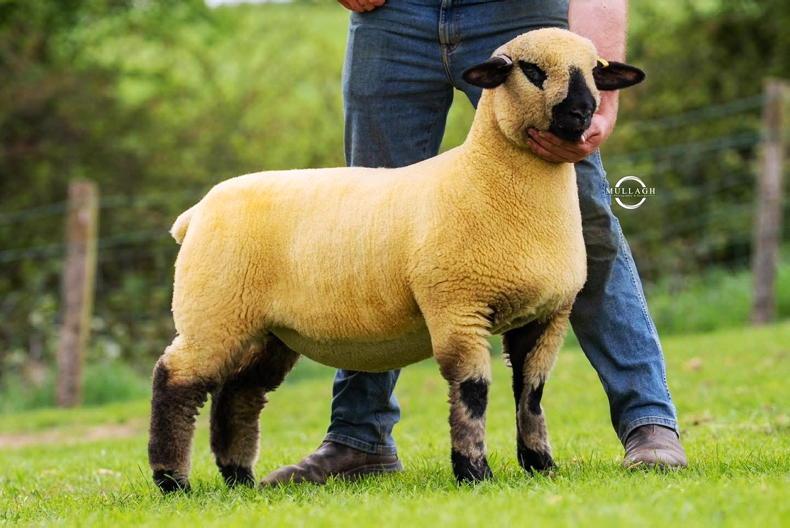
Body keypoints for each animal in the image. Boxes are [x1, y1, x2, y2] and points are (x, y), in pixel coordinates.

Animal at [148, 27, 645, 492]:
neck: (486, 179)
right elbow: (473, 393)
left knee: (239, 393)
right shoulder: (457, 307)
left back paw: (239, 479)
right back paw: (173, 481)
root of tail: (196, 212)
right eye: (531, 70)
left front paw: (541, 466)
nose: (581, 112)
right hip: (213, 309)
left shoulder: (547, 315)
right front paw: (474, 472)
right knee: (175, 380)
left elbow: (532, 393)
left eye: (595, 71)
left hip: (268, 330)